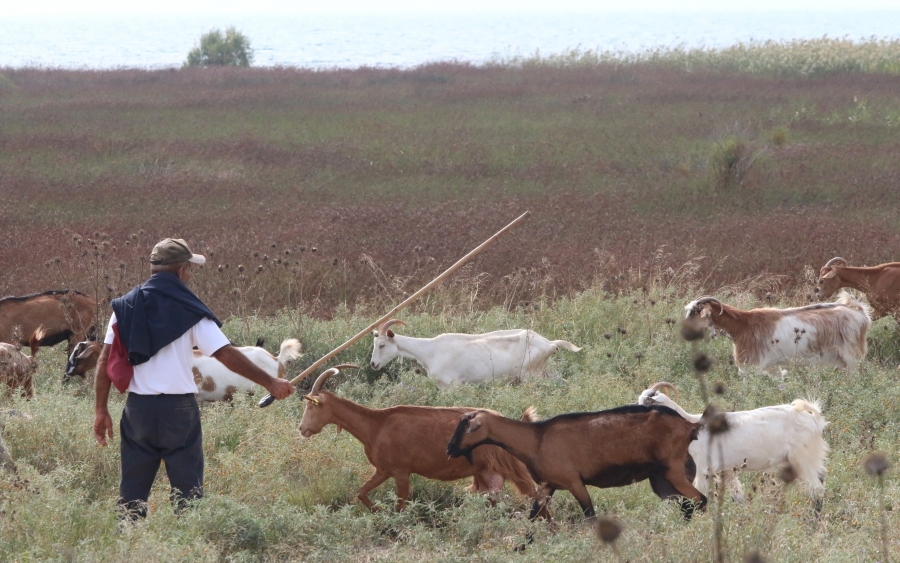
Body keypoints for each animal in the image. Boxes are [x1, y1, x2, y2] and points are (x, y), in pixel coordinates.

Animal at [298, 366, 548, 516]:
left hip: (510, 466)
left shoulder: (400, 472)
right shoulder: (383, 470)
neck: (375, 425)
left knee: (536, 493)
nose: (302, 429)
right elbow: (361, 492)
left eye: (311, 406)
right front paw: (378, 512)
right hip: (485, 472)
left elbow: (401, 505)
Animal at [368, 320, 584, 390]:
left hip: (531, 375)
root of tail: (550, 344)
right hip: (544, 371)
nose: (373, 364)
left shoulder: (453, 385)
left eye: (382, 345)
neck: (430, 351)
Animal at [446, 404, 708, 524]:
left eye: (466, 426)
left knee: (701, 500)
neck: (535, 439)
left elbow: (590, 516)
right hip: (660, 478)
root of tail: (689, 426)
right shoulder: (549, 484)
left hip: (673, 469)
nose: (449, 449)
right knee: (686, 505)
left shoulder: (574, 482)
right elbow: (533, 516)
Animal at [636, 384, 828, 506]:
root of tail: (815, 419)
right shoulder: (726, 471)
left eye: (649, 401)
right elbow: (738, 497)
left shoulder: (703, 471)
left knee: (818, 492)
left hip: (804, 459)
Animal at [684, 290, 868, 374]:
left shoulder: (753, 366)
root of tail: (861, 313)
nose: (685, 333)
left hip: (851, 357)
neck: (743, 325)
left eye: (695, 312)